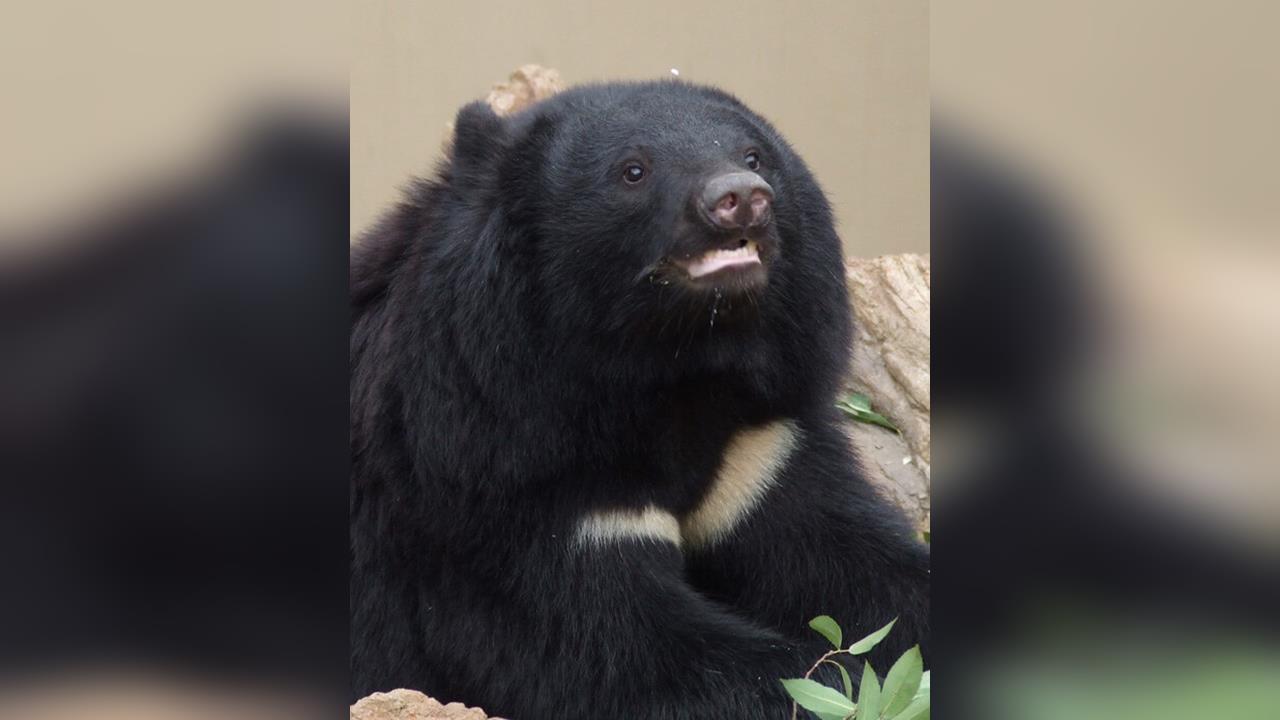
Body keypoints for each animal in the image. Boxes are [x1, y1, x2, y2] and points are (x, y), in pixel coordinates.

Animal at [350, 80, 929, 719]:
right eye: (633, 170)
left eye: (754, 156)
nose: (741, 198)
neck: (674, 369)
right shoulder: (498, 479)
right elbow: (609, 651)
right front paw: (828, 684)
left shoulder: (761, 449)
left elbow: (852, 558)